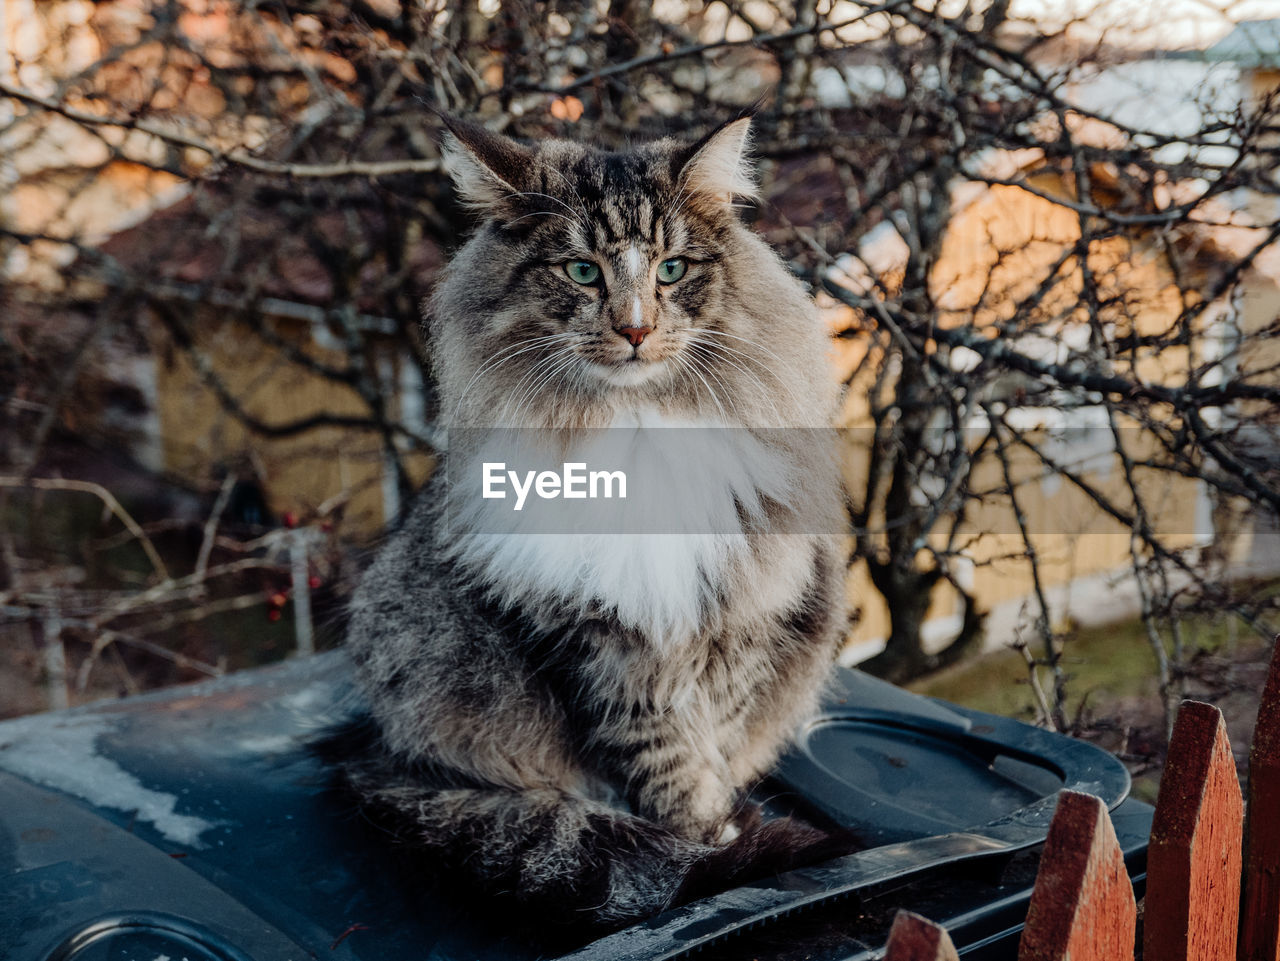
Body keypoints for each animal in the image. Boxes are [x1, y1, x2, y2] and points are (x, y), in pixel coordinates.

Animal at [322, 112, 849, 931]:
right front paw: (702, 851)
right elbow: (663, 760)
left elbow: (713, 744)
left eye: (671, 270)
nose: (635, 330)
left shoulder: (737, 619)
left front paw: (717, 834)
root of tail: (374, 747)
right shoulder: (594, 639)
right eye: (581, 272)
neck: (635, 432)